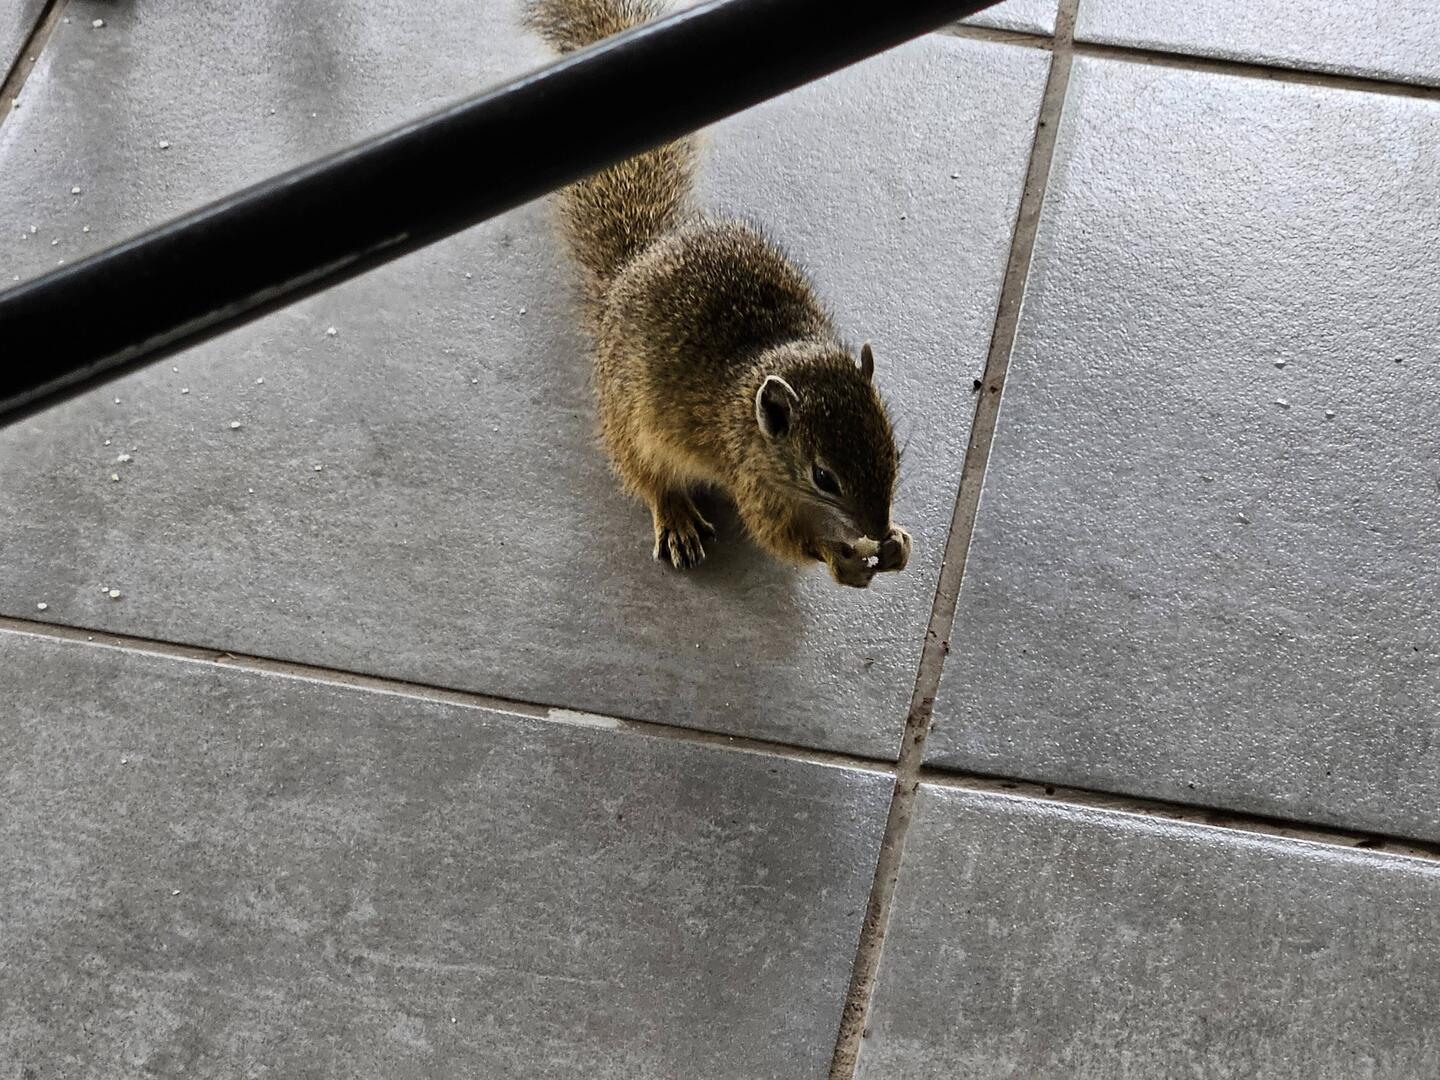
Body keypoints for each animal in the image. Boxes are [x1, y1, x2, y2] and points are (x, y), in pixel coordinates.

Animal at [524, 0, 912, 588]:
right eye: (823, 476)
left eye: (890, 444)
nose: (877, 525)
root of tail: (631, 267)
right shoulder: (747, 472)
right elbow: (780, 537)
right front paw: (843, 559)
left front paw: (898, 542)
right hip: (629, 422)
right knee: (645, 475)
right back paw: (676, 516)